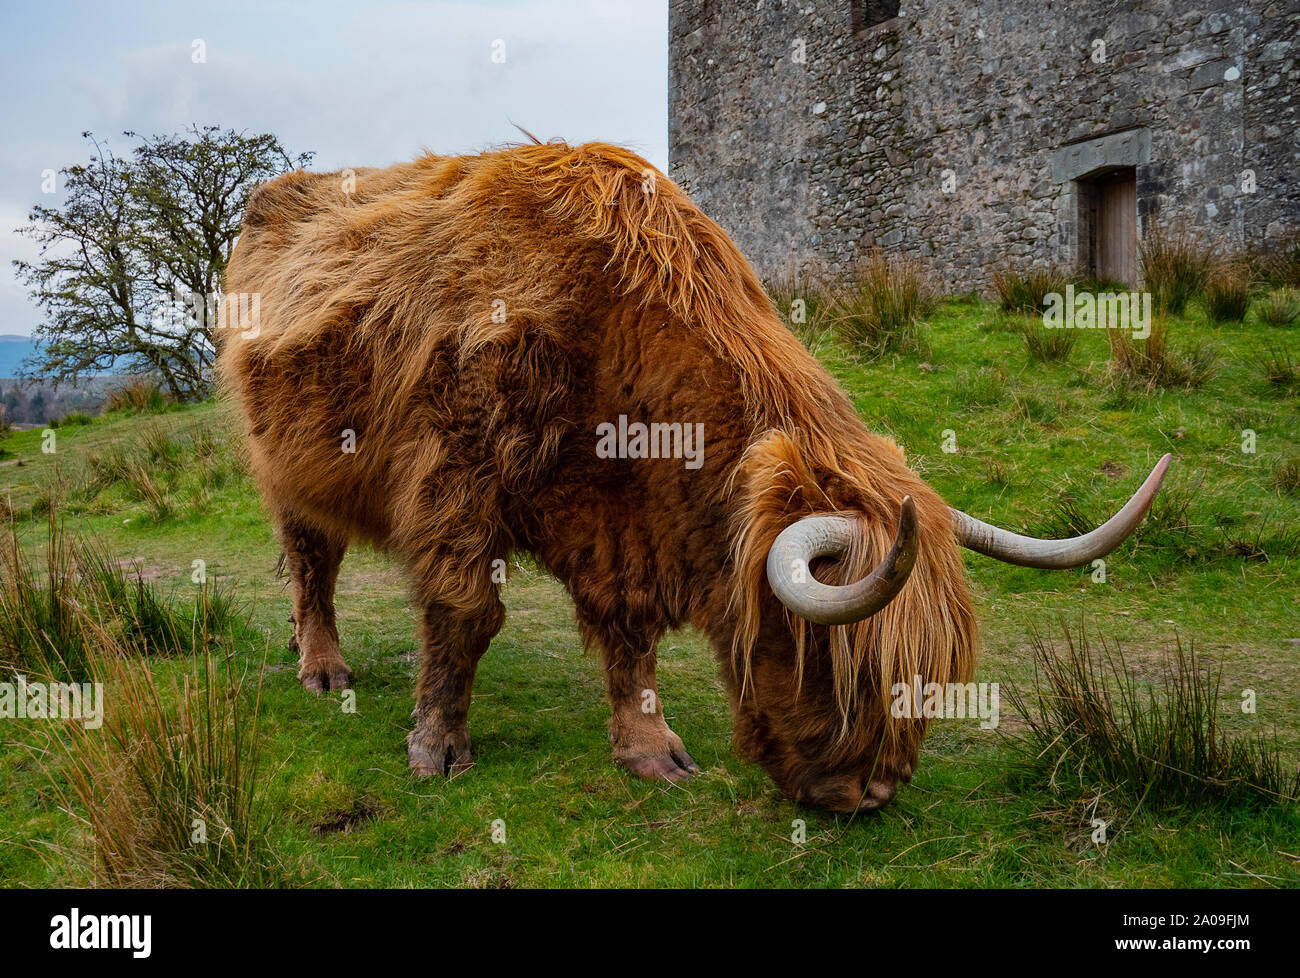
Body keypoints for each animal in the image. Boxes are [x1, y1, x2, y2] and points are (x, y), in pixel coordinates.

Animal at [217, 140, 1169, 812]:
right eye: (835, 664)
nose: (872, 794)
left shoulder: (622, 527)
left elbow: (628, 641)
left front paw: (651, 750)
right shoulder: (454, 481)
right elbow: (465, 616)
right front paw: (438, 749)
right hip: (287, 468)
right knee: (313, 566)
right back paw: (323, 668)